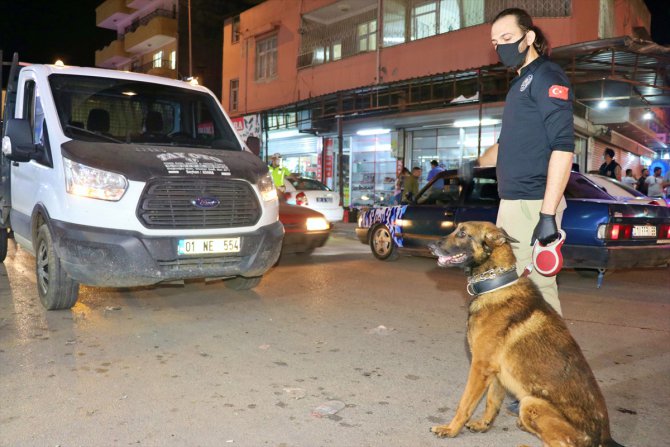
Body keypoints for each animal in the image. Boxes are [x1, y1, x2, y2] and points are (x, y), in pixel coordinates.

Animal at [430, 222, 624, 446]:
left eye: (462, 233)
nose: (429, 245)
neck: (495, 284)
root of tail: (605, 438)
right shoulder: (496, 373)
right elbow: (492, 402)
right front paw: (484, 425)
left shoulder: (480, 367)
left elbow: (465, 404)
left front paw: (450, 429)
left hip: (531, 403)